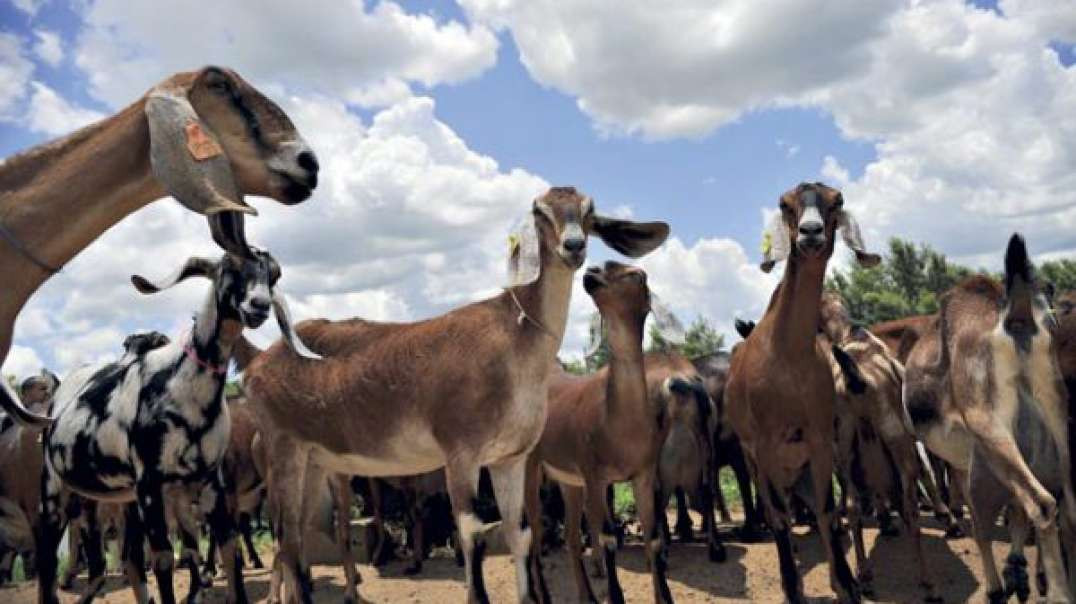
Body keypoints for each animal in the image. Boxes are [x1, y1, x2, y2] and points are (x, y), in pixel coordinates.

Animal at [28, 249, 314, 602]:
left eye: (272, 275)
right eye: (229, 267)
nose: (258, 305)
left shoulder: (207, 486)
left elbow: (225, 548)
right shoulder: (151, 487)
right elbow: (164, 558)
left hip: (110, 500)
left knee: (120, 560)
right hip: (56, 489)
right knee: (50, 557)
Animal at [723, 179, 873, 602]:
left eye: (837, 201)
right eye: (785, 204)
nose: (810, 233)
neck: (787, 359)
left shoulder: (820, 437)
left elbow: (827, 510)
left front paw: (846, 583)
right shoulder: (763, 445)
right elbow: (777, 516)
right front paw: (792, 587)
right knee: (779, 512)